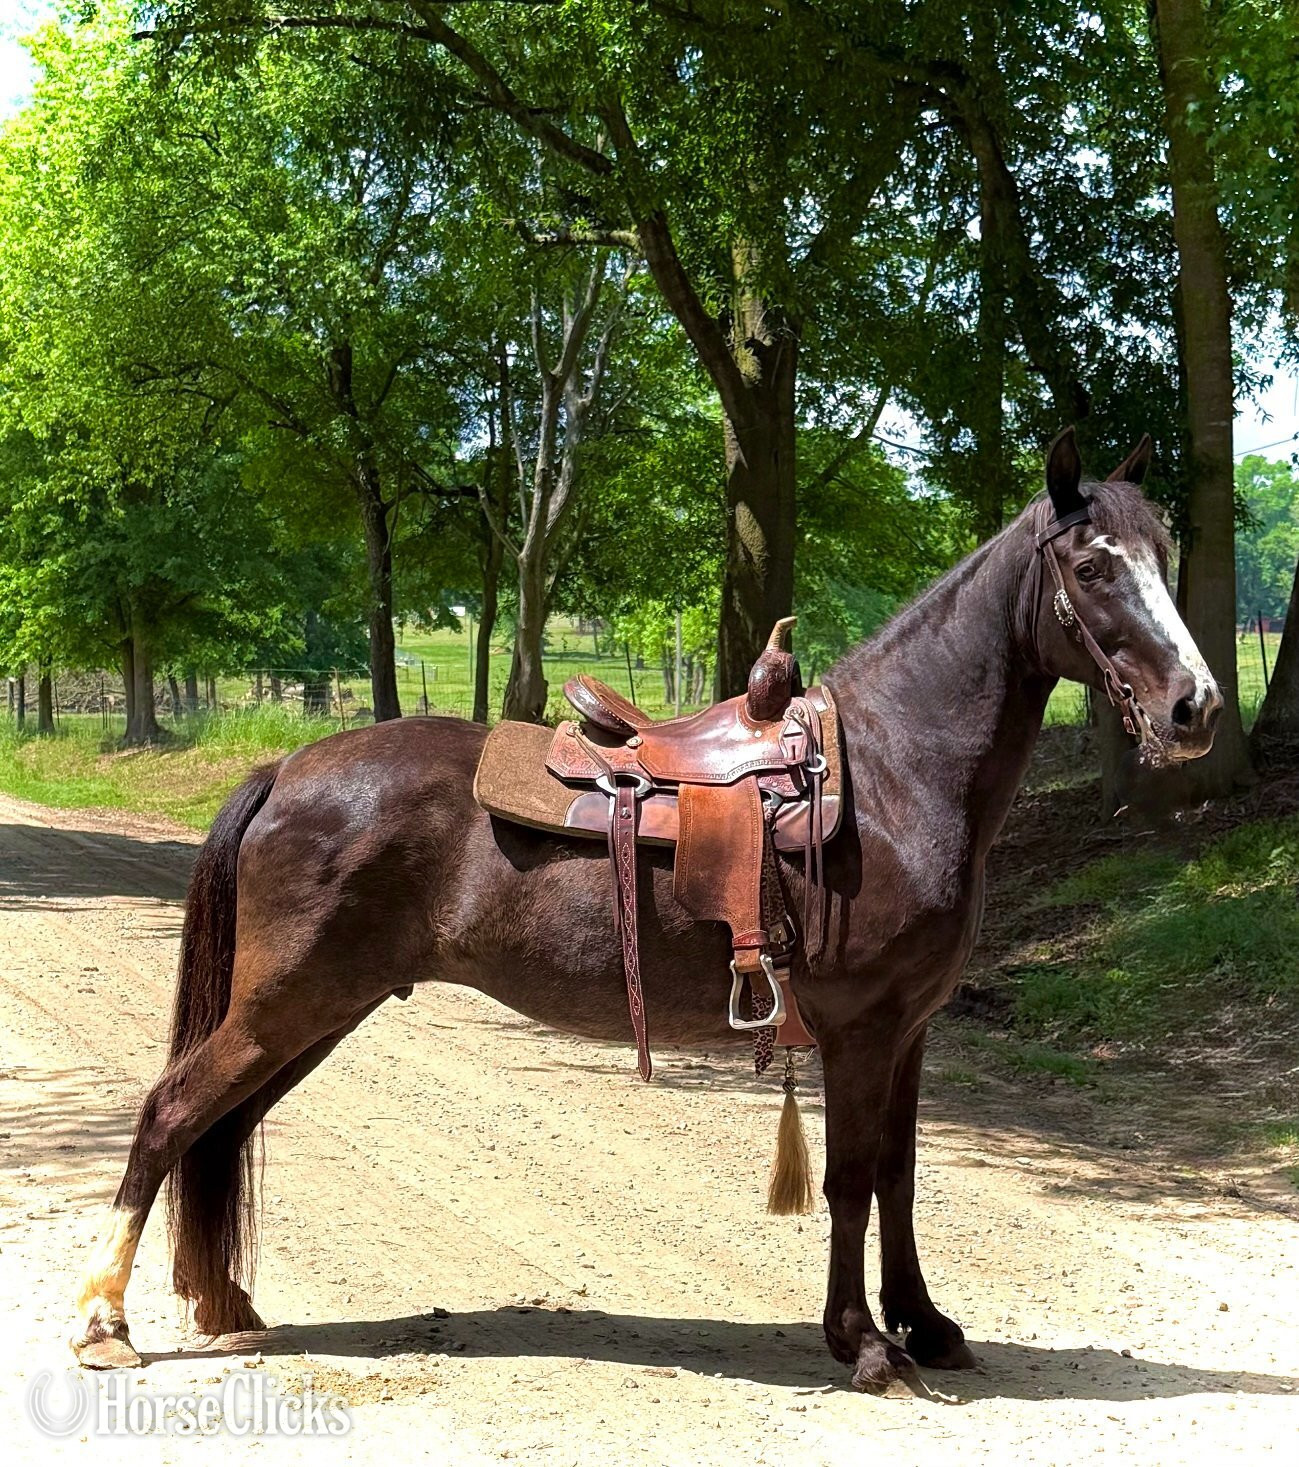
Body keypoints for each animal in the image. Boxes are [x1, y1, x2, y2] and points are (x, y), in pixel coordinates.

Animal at [71, 427, 1220, 1392]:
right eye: (1092, 567)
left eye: (1164, 551)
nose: (1195, 708)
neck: (893, 774)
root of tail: (288, 768)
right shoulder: (860, 1029)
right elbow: (851, 1178)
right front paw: (862, 1344)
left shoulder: (909, 1033)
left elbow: (897, 1175)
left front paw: (926, 1324)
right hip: (289, 1004)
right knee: (171, 1112)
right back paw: (105, 1325)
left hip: (317, 1011)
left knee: (222, 1125)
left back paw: (224, 1300)